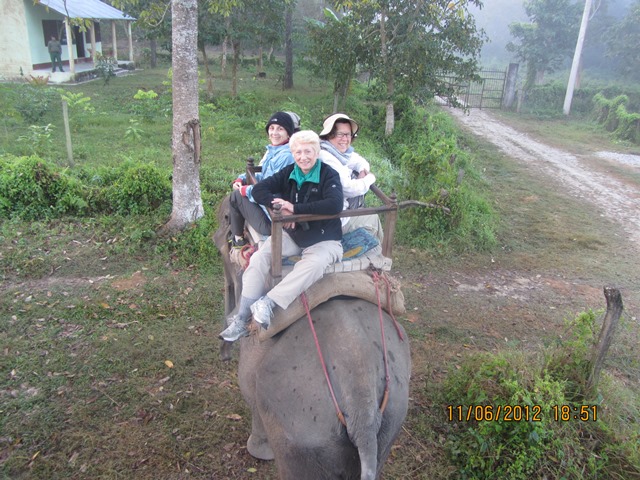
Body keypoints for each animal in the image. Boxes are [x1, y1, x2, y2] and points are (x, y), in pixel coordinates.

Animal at [212, 196, 412, 480]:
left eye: (223, 223)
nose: (224, 354)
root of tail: (361, 403)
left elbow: (248, 387)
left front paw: (258, 453)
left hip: (301, 429)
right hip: (392, 416)